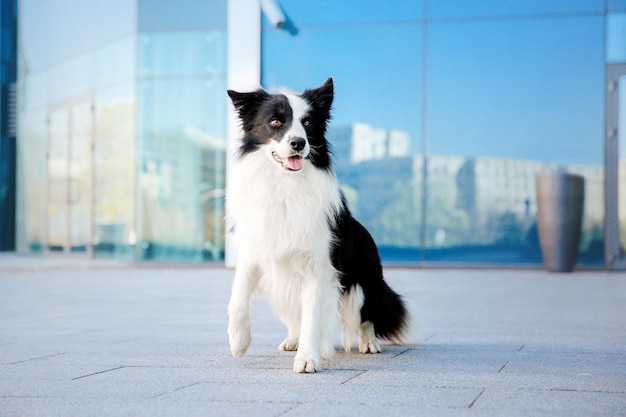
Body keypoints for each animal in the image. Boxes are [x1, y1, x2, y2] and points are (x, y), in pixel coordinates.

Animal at [225, 78, 414, 374]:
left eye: (308, 123)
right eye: (275, 121)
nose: (298, 143)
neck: (285, 184)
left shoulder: (319, 266)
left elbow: (313, 316)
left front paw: (308, 358)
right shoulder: (253, 250)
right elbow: (238, 296)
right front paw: (238, 341)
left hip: (362, 282)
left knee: (366, 314)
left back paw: (368, 342)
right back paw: (292, 339)